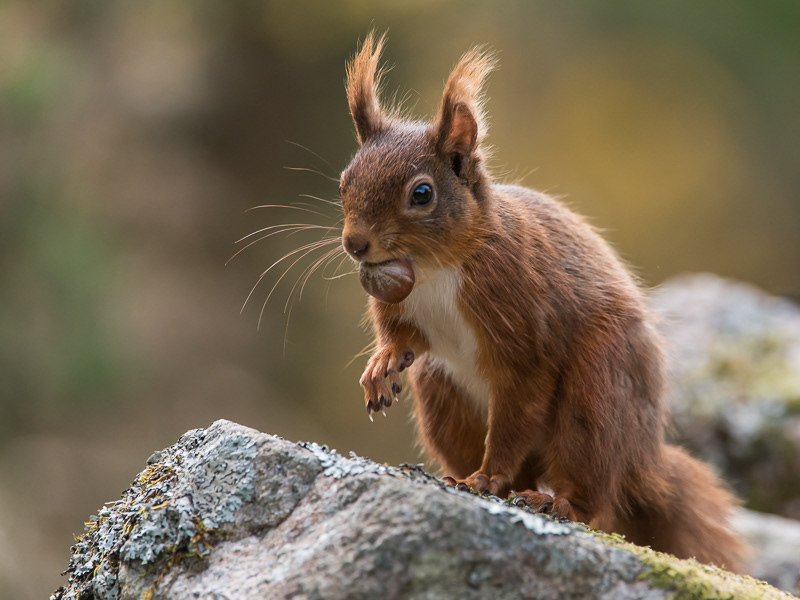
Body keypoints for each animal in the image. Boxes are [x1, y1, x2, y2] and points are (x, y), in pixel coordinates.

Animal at [337, 32, 746, 571]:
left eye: (421, 194)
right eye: (344, 181)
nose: (355, 244)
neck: (436, 270)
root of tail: (644, 458)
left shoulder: (524, 324)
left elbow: (519, 401)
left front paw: (489, 476)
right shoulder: (402, 305)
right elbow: (403, 336)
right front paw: (381, 363)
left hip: (597, 388)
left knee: (591, 487)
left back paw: (552, 501)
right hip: (443, 394)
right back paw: (468, 479)